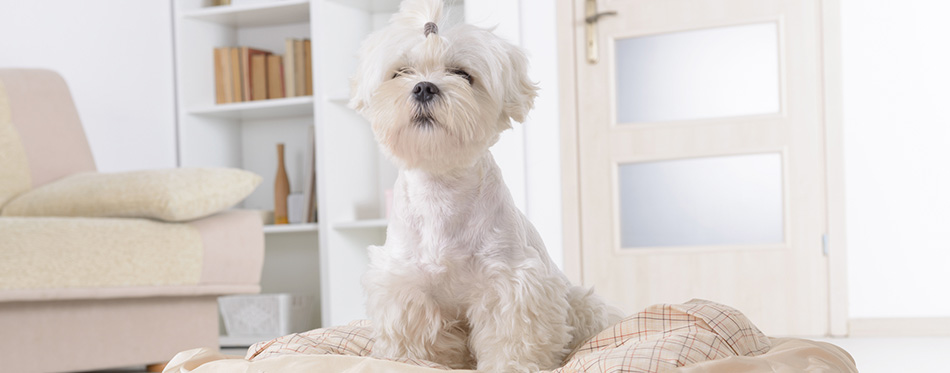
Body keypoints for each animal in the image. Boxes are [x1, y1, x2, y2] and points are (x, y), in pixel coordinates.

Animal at [352, 0, 616, 370]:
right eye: (401, 72)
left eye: (463, 74)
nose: (424, 87)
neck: (442, 188)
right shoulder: (408, 287)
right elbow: (419, 343)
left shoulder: (510, 282)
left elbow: (512, 339)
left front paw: (513, 365)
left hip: (582, 303)